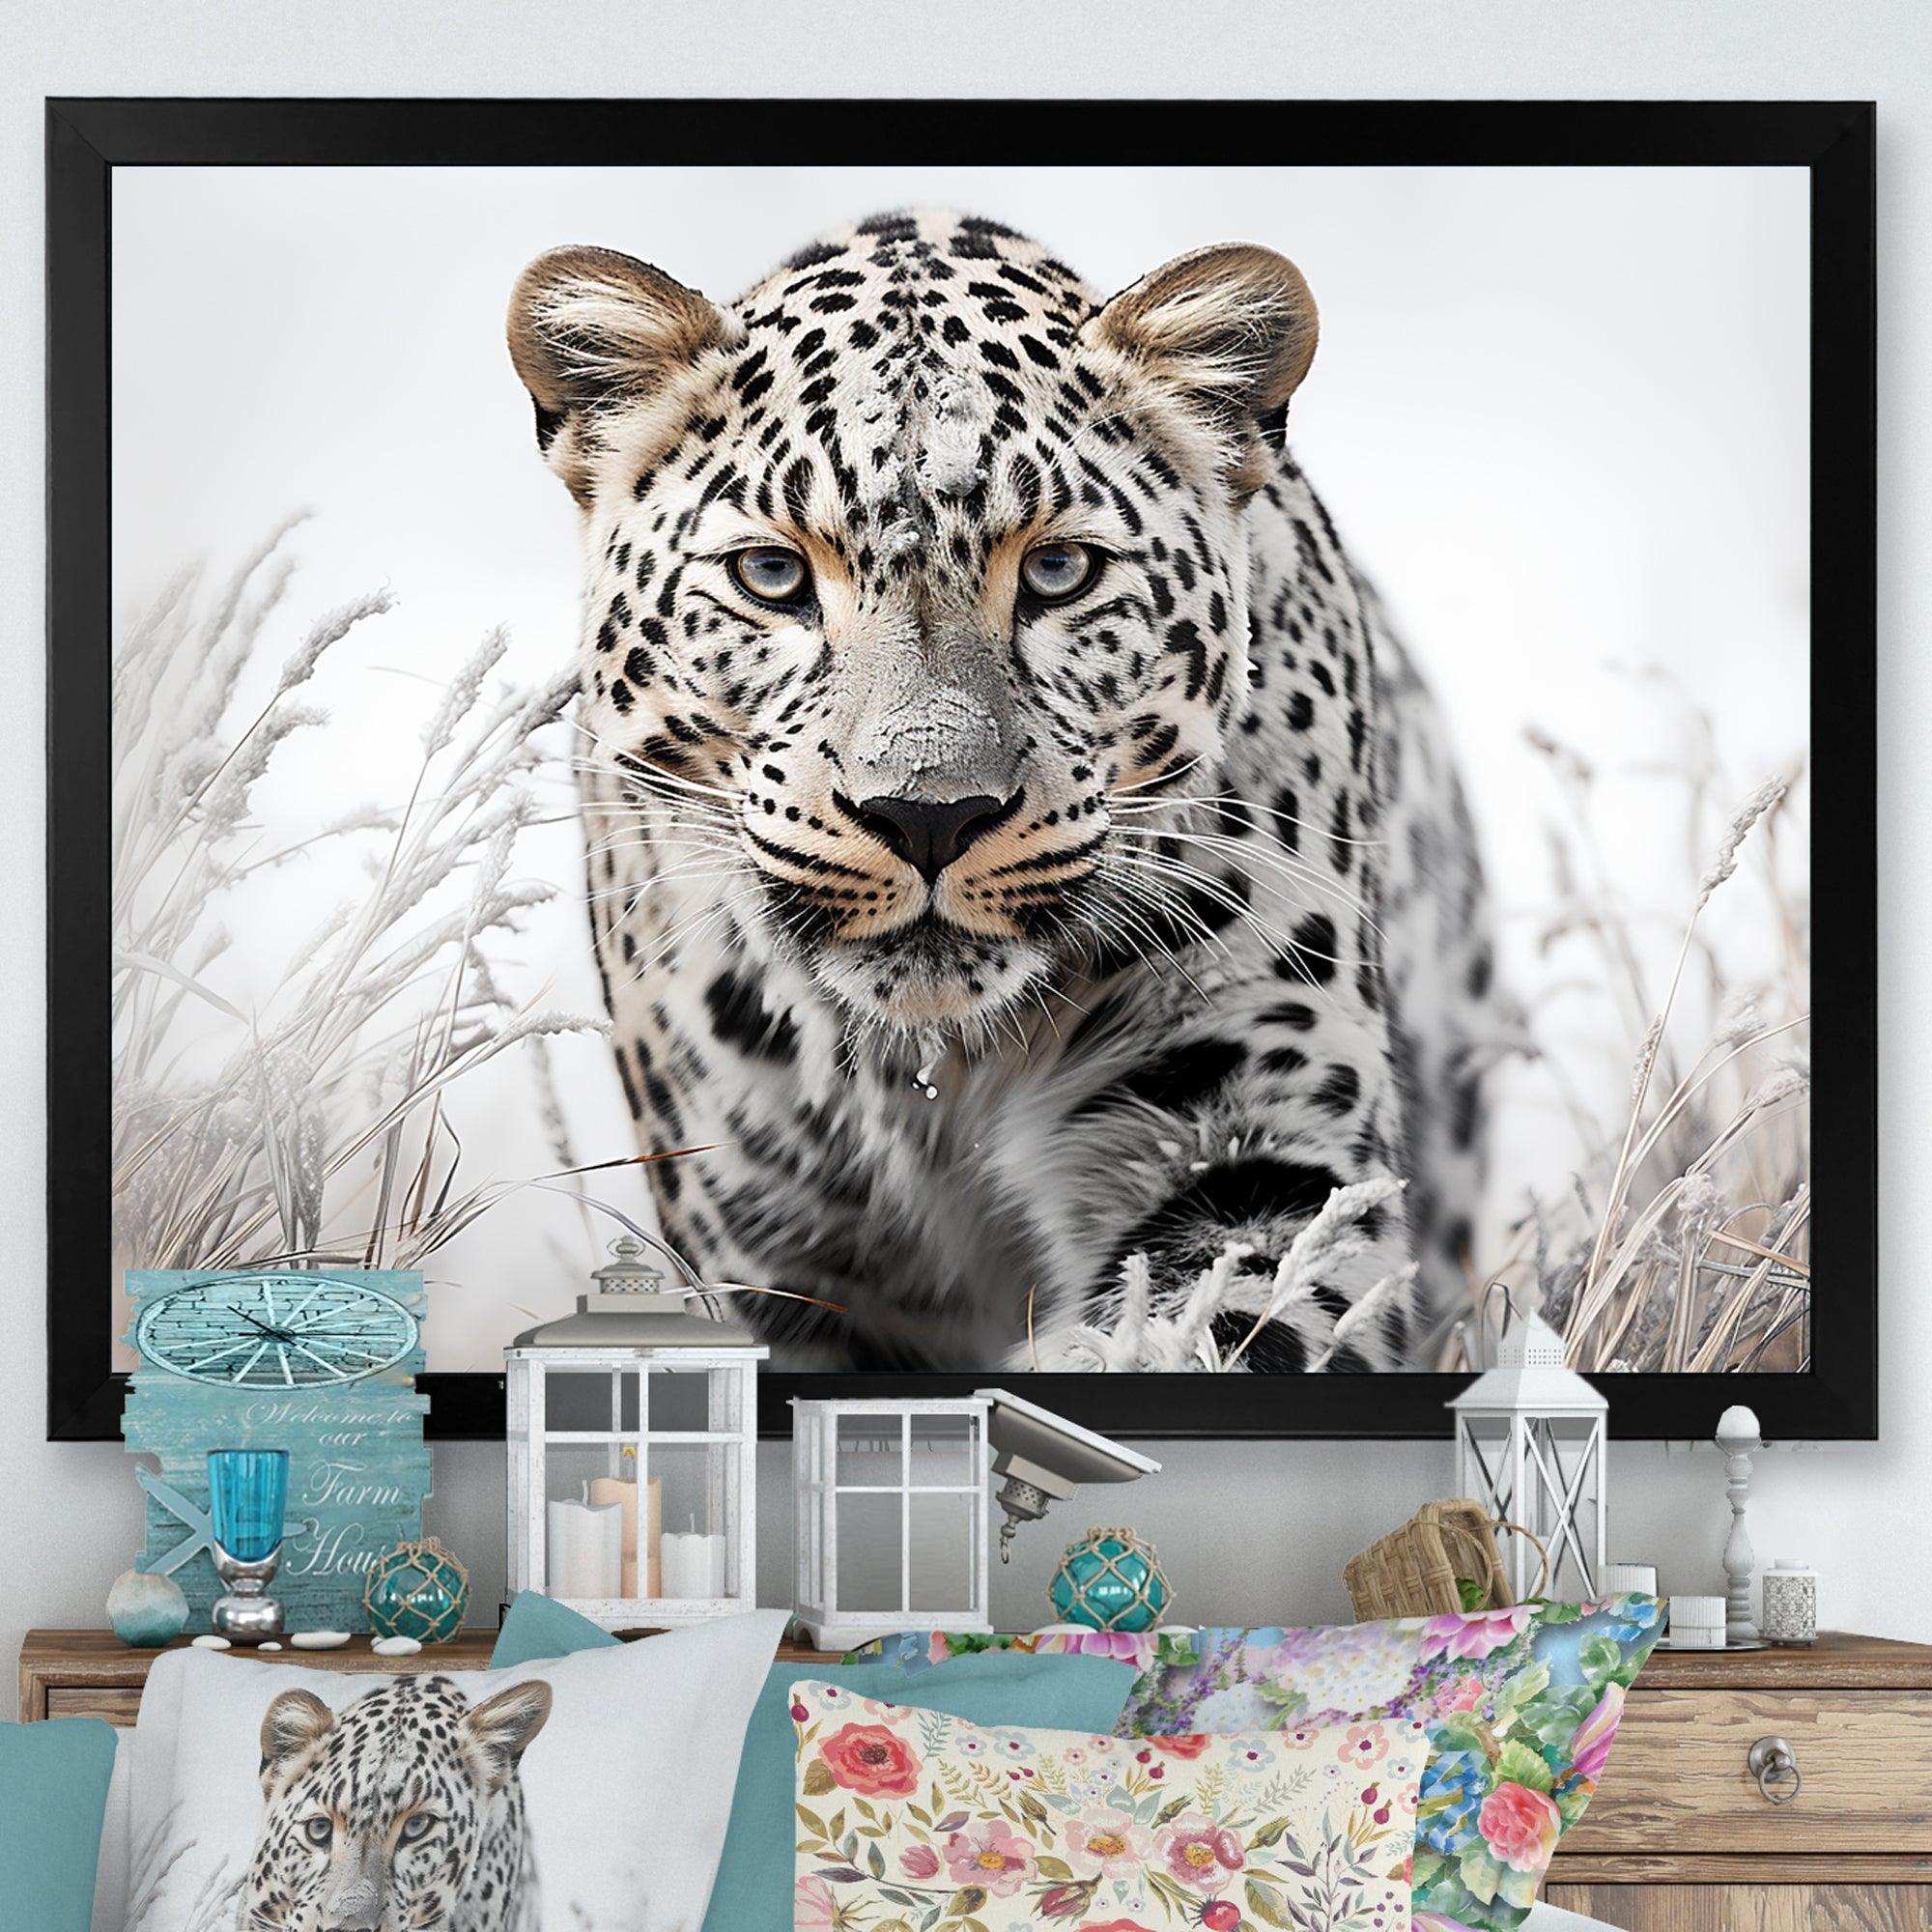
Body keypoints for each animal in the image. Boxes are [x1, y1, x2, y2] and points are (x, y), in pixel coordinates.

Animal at [507, 206, 1496, 1372]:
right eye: (771, 577)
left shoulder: (1263, 1132)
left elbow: (1212, 1322)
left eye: (1060, 573)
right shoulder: (771, 1247)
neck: (932, 1077)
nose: (927, 817)